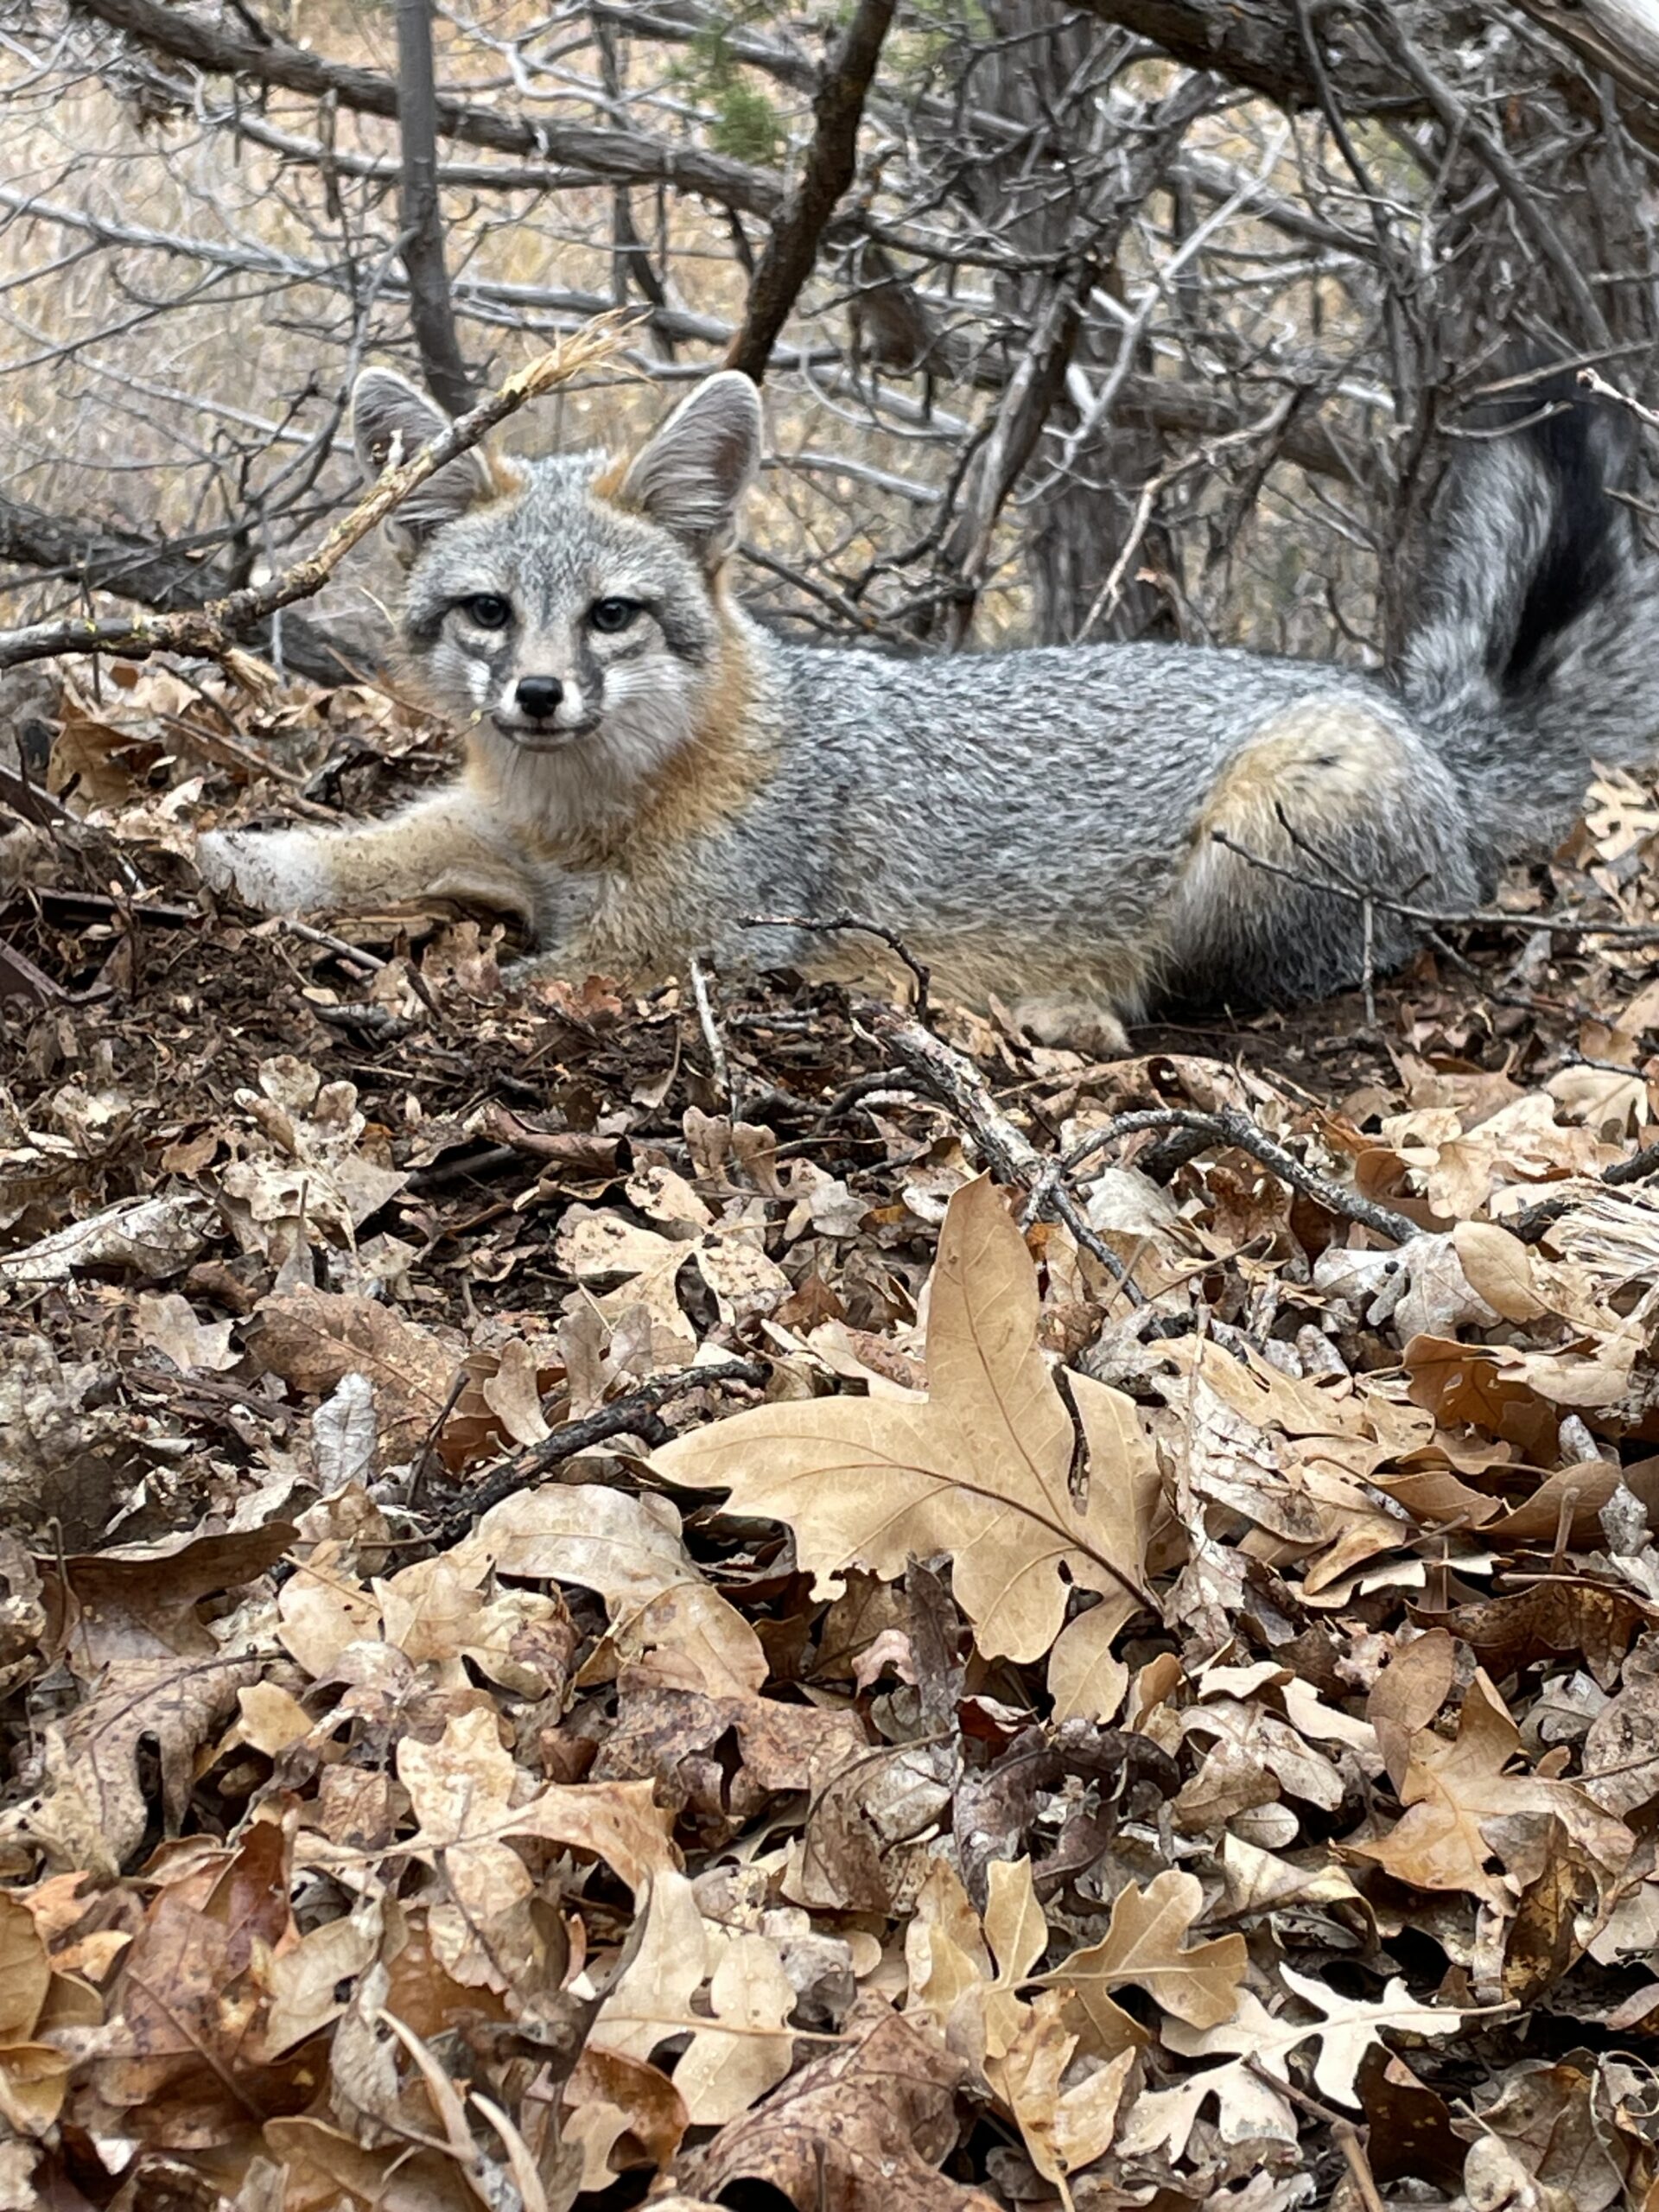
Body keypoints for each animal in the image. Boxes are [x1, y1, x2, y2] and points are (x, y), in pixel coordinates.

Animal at [195, 365, 1659, 1053]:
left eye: (611, 616)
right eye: (489, 613)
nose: (540, 696)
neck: (589, 814)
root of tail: (1414, 721)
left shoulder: (692, 943)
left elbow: (528, 979)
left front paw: (407, 996)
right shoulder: (491, 826)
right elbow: (381, 845)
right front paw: (248, 859)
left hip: (1247, 846)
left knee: (1204, 992)